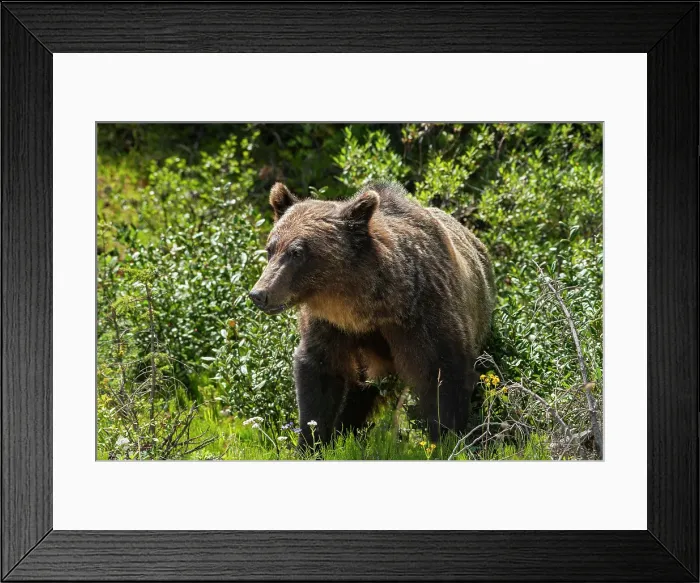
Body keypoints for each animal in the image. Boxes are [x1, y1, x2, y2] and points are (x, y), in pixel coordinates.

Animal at [249, 181, 496, 447]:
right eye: (271, 248)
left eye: (297, 252)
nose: (259, 293)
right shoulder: (329, 325)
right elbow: (320, 376)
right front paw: (311, 443)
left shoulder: (424, 314)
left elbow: (444, 374)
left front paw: (446, 440)